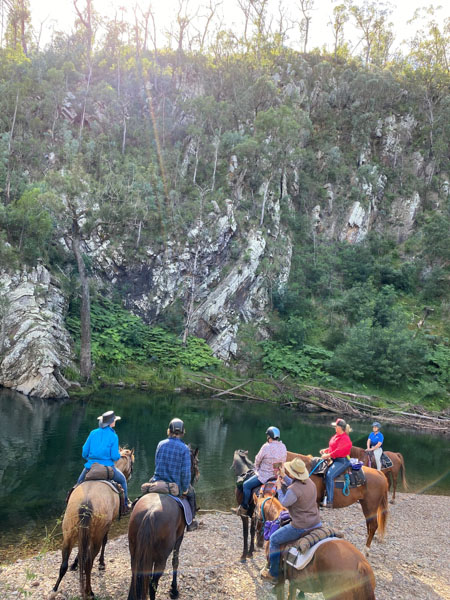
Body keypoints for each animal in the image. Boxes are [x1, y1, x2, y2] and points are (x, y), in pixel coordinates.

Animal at [53, 448, 134, 600]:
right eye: (132, 463)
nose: (130, 476)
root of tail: (86, 502)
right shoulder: (107, 526)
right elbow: (105, 541)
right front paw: (102, 563)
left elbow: (80, 551)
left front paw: (75, 564)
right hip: (96, 534)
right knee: (89, 562)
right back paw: (89, 591)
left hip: (68, 533)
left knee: (64, 563)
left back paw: (55, 589)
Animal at [125, 446, 198, 600]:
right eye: (196, 463)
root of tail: (150, 514)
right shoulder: (179, 537)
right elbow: (176, 561)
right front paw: (174, 589)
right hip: (160, 558)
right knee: (153, 583)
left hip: (134, 551)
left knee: (135, 576)